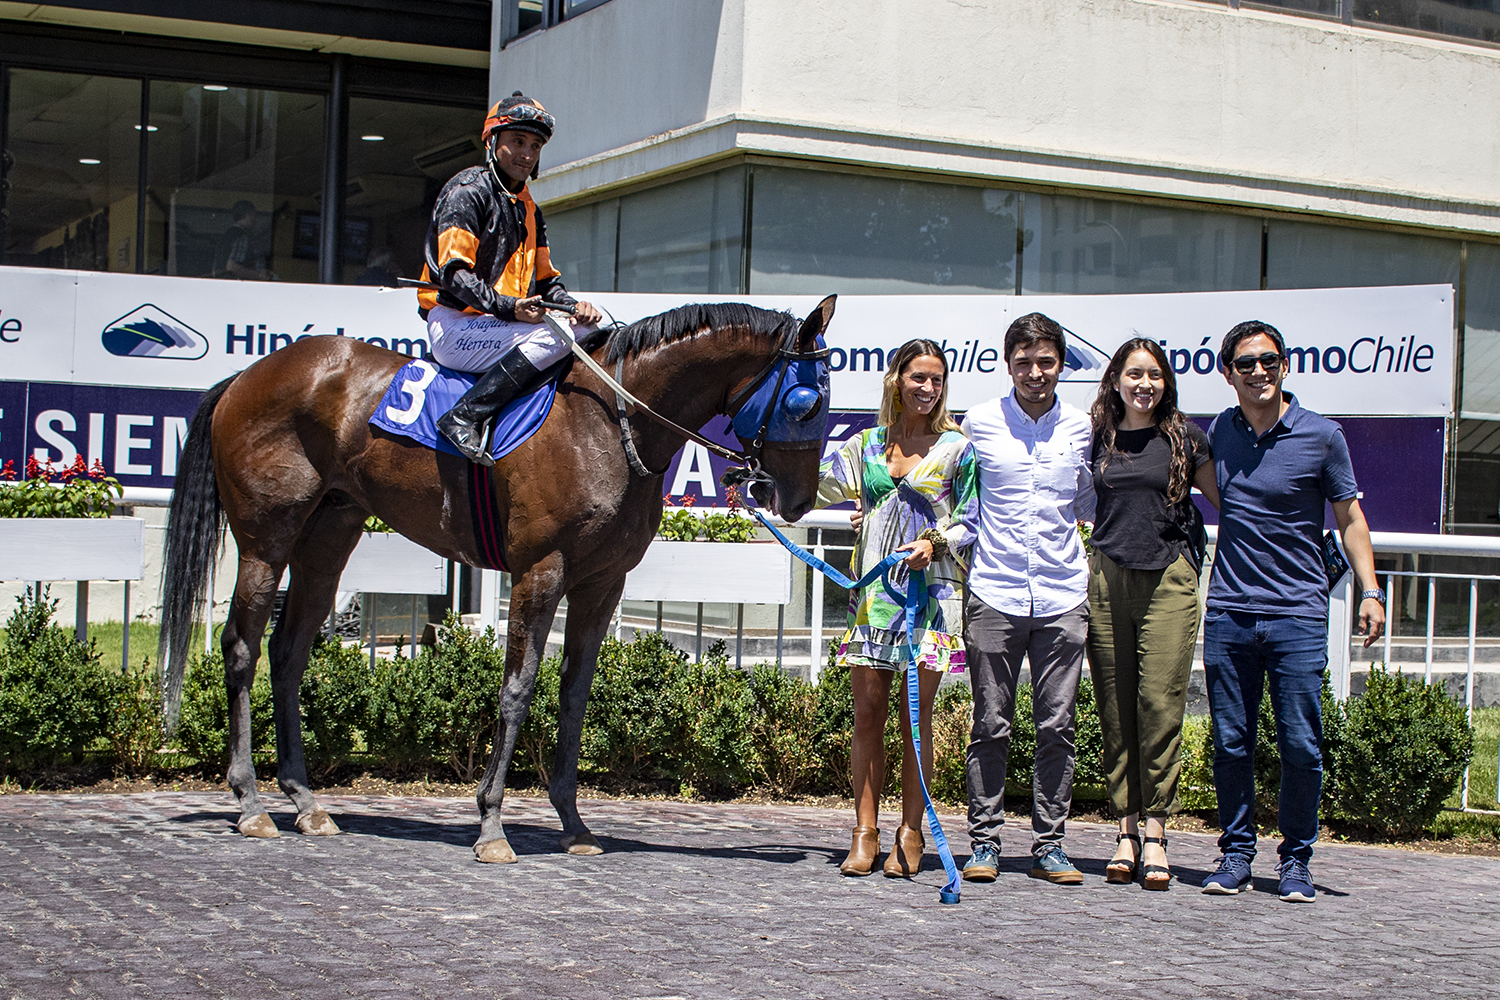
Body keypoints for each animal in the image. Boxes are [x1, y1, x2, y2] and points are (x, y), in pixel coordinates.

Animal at [157, 296, 836, 861]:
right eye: (805, 402)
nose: (799, 499)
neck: (611, 424)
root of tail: (249, 376)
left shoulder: (602, 583)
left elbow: (574, 694)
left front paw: (574, 824)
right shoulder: (541, 571)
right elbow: (518, 689)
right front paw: (490, 825)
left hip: (327, 539)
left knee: (289, 651)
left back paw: (304, 801)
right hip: (266, 540)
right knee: (241, 648)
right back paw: (249, 801)